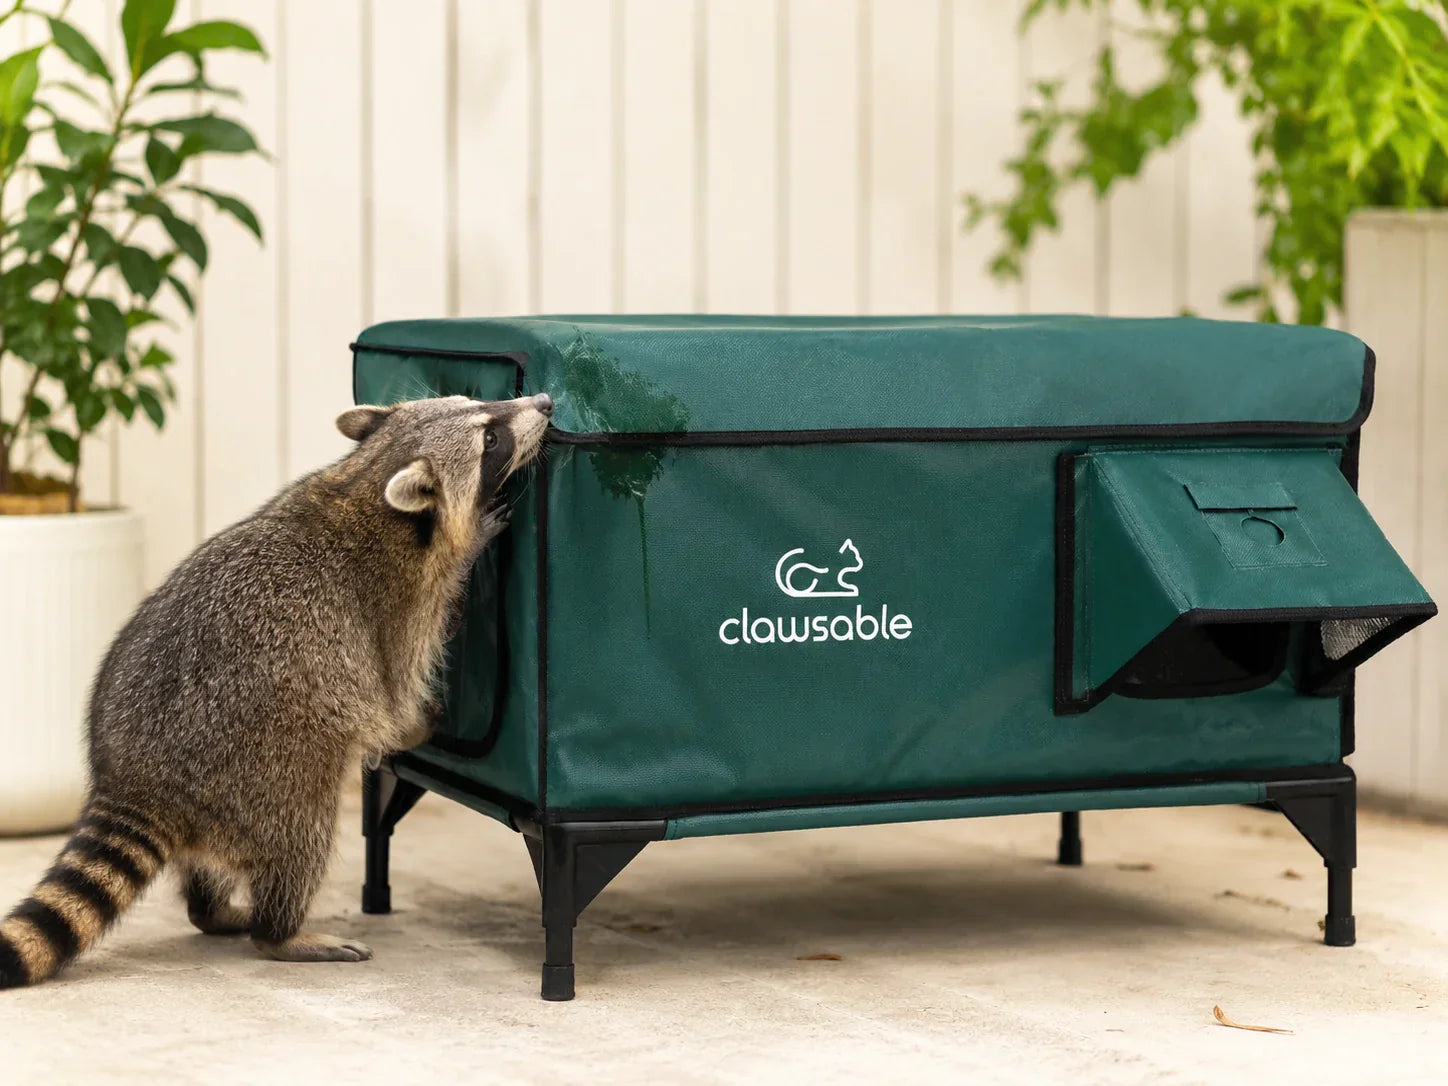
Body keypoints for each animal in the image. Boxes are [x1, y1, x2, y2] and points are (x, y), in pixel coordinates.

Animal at [0, 392, 552, 987]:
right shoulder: (400, 603)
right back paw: (281, 931)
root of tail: (135, 781)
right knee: (302, 834)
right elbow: (391, 693)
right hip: (268, 766)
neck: (367, 480)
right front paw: (417, 723)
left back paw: (212, 909)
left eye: (478, 402)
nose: (543, 402)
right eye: (490, 439)